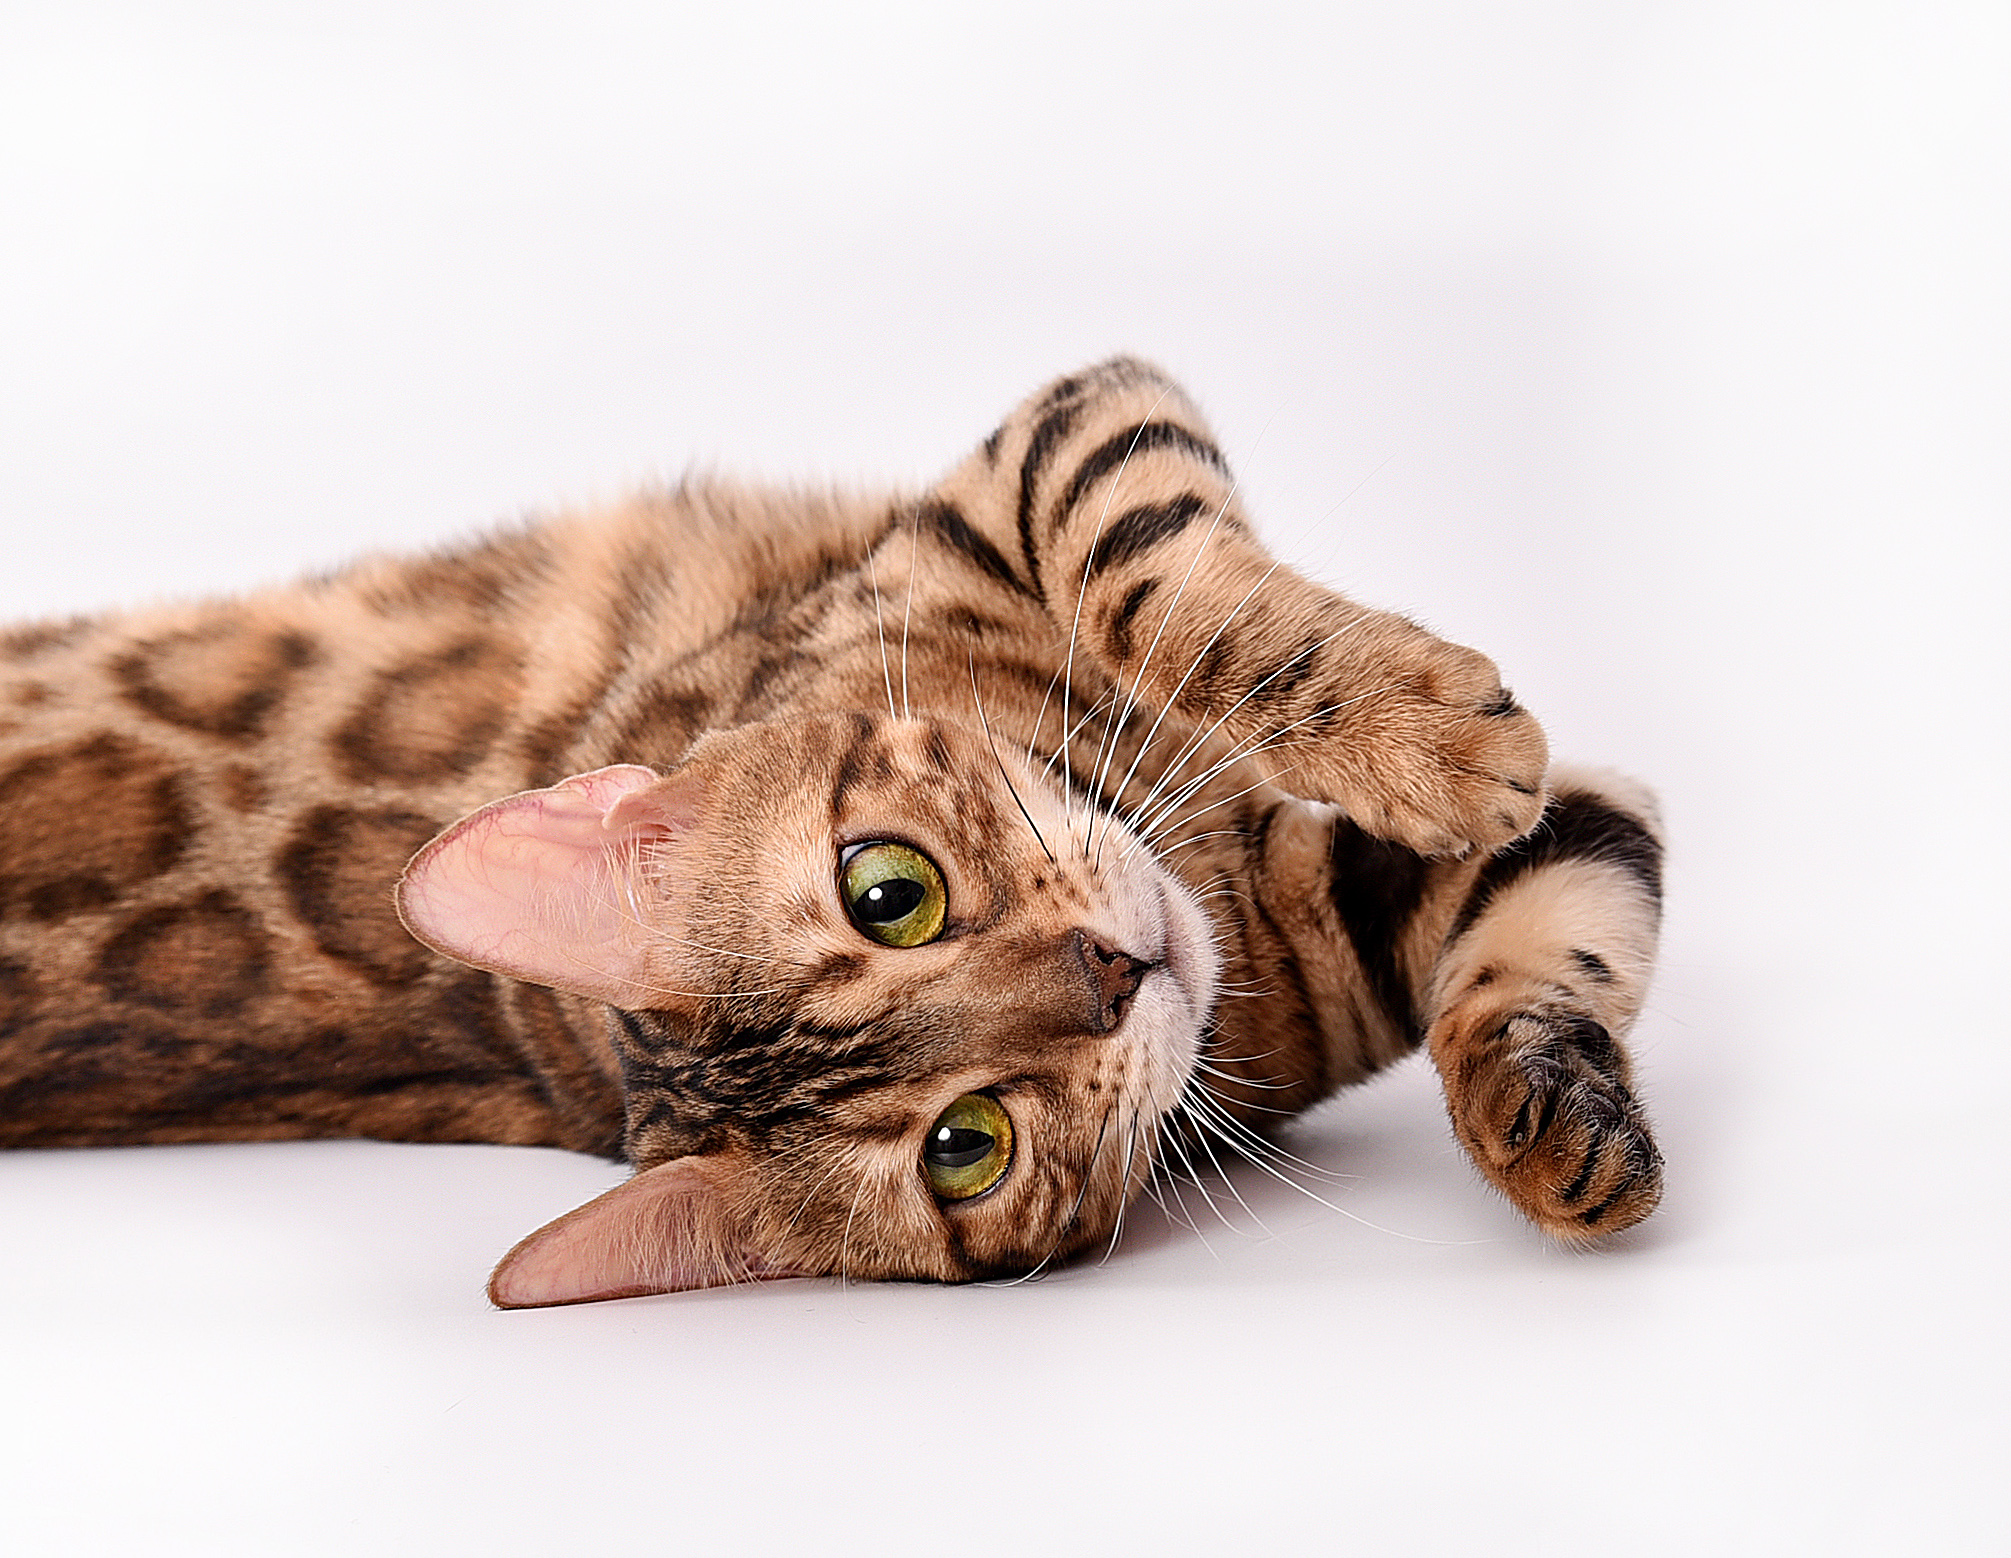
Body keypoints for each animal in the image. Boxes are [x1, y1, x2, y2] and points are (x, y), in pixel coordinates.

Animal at [0, 357, 1664, 1304]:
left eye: (889, 891)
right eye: (966, 1147)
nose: (1115, 973)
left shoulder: (1042, 447)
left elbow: (1149, 568)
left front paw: (1425, 731)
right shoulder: (1342, 943)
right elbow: (1561, 892)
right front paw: (1546, 1130)